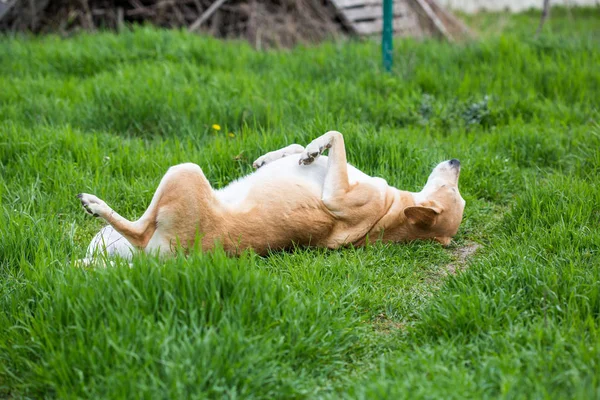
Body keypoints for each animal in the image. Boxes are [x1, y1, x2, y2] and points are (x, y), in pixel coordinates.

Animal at [77, 131, 466, 260]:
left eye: (452, 190)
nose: (458, 161)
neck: (393, 211)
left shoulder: (339, 196)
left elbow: (336, 135)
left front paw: (313, 149)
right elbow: (303, 147)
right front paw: (285, 155)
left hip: (184, 172)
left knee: (139, 231)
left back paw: (96, 205)